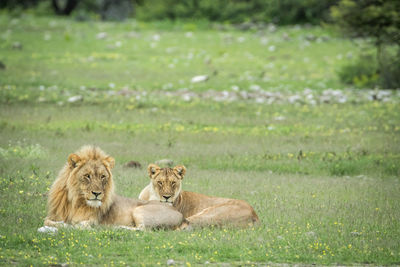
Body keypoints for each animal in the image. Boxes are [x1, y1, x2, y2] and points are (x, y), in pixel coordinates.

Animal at [43, 147, 183, 230]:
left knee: (142, 229)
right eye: (87, 176)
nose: (97, 193)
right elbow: (46, 221)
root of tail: (180, 214)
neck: (76, 201)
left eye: (102, 176)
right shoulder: (54, 215)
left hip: (139, 210)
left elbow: (80, 224)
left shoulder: (92, 220)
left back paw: (118, 227)